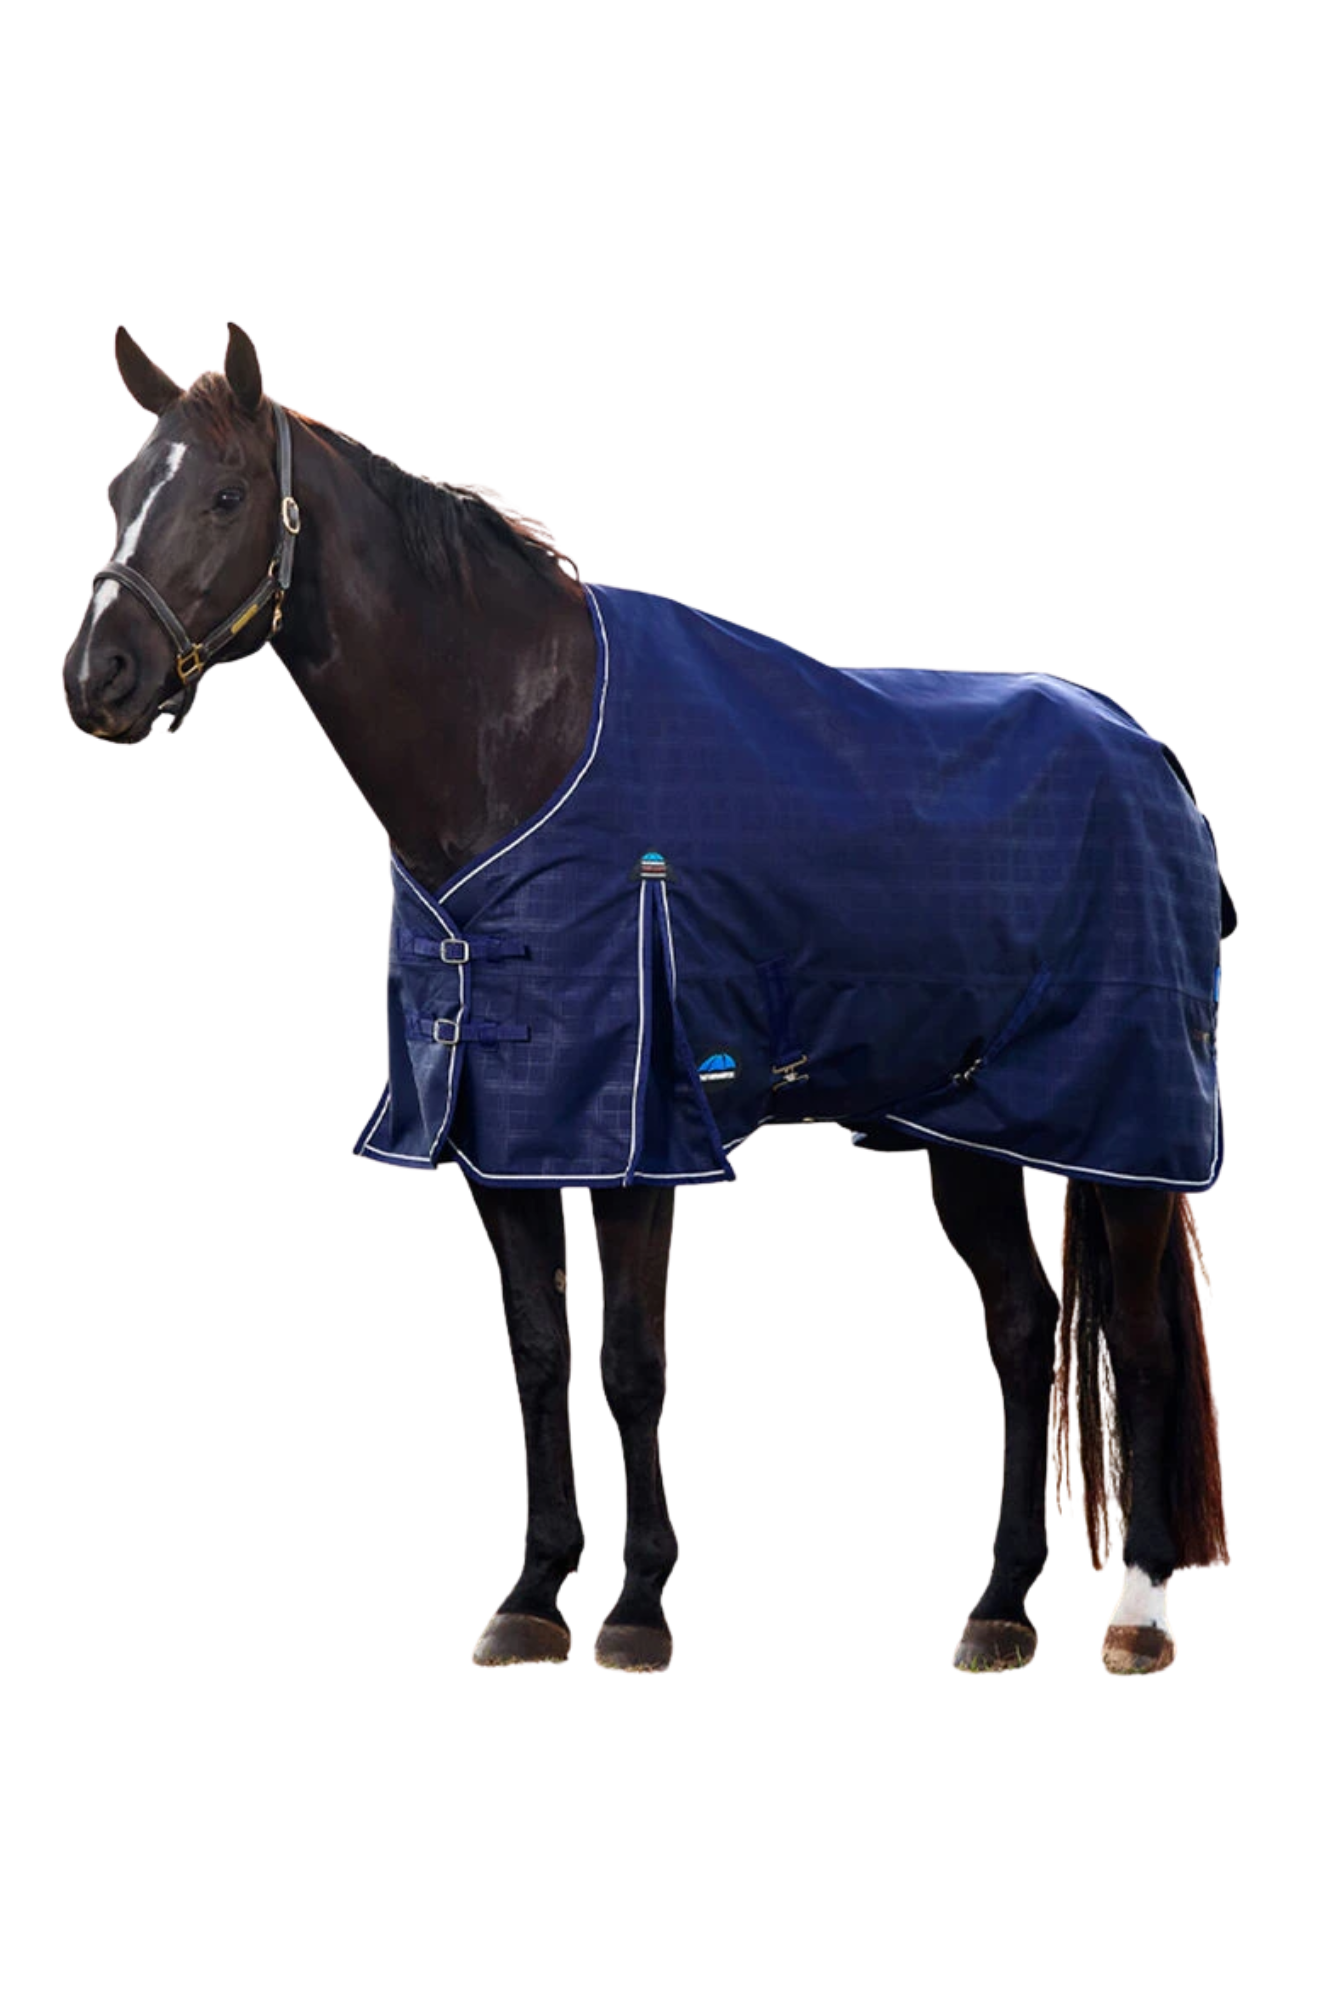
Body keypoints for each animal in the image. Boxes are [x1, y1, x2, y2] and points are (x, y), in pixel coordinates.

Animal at [62, 323, 1231, 1677]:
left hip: (1128, 1124)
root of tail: (1148, 757)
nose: (97, 677)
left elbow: (629, 1361)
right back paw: (997, 1608)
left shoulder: (640, 1127)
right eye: (118, 492)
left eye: (227, 495)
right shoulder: (502, 1132)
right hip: (973, 1131)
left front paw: (634, 1609)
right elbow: (537, 1355)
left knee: (1139, 1344)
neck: (519, 745)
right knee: (1025, 1331)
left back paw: (1139, 1610)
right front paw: (529, 1596)